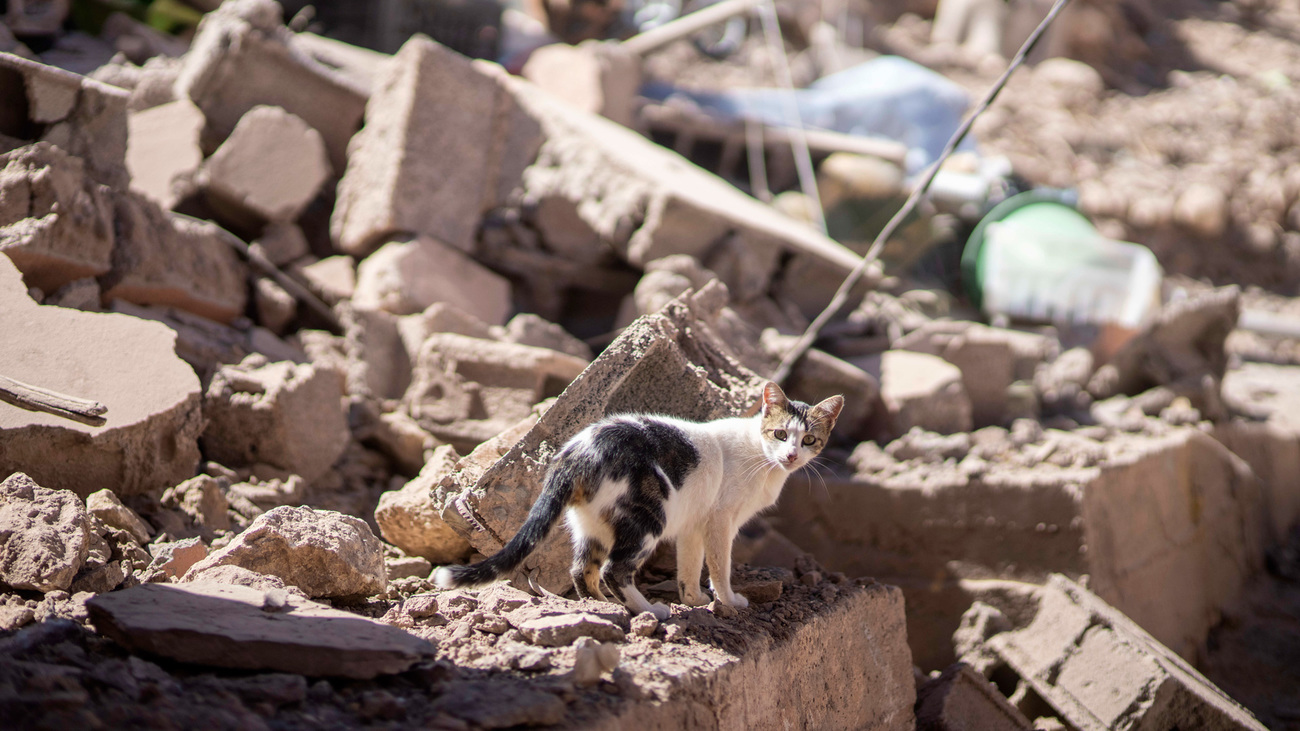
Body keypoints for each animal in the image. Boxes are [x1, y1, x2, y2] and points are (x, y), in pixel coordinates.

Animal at [431, 382, 847, 613]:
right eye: (780, 434)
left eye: (809, 440)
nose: (791, 456)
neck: (763, 461)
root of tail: (578, 450)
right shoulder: (720, 521)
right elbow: (719, 566)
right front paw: (728, 601)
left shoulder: (694, 523)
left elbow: (689, 565)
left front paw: (694, 600)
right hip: (649, 517)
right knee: (615, 569)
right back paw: (650, 611)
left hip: (593, 525)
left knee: (582, 569)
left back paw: (604, 607)